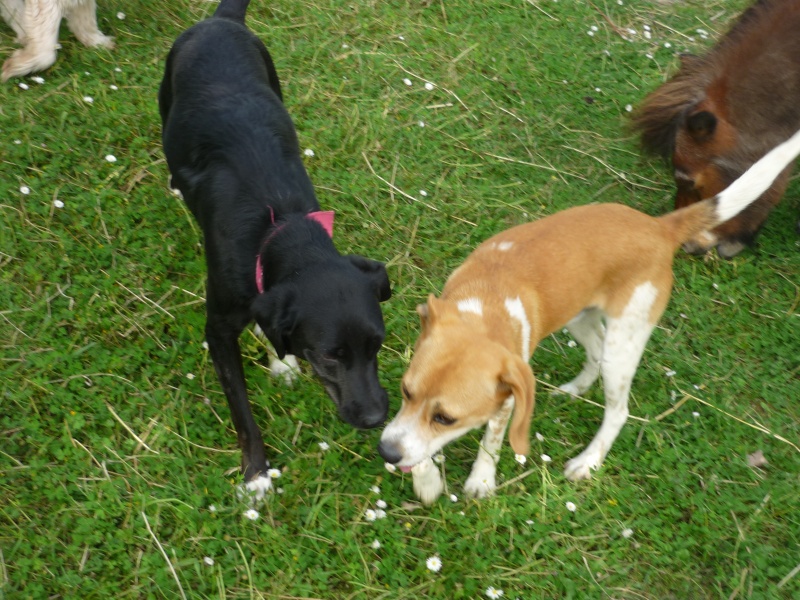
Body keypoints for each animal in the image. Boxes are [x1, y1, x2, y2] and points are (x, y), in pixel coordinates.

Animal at [158, 0, 392, 496]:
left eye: (377, 345)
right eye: (330, 355)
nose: (375, 418)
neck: (282, 226)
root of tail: (221, 20)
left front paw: (278, 358)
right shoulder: (219, 329)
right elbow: (242, 410)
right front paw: (257, 473)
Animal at [378, 129, 800, 504]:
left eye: (446, 418)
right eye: (405, 391)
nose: (385, 453)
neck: (485, 304)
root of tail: (659, 227)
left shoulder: (505, 399)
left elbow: (491, 441)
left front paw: (481, 480)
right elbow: (418, 444)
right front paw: (427, 480)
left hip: (623, 345)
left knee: (619, 410)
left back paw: (589, 461)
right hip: (579, 317)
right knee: (594, 351)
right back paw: (575, 389)